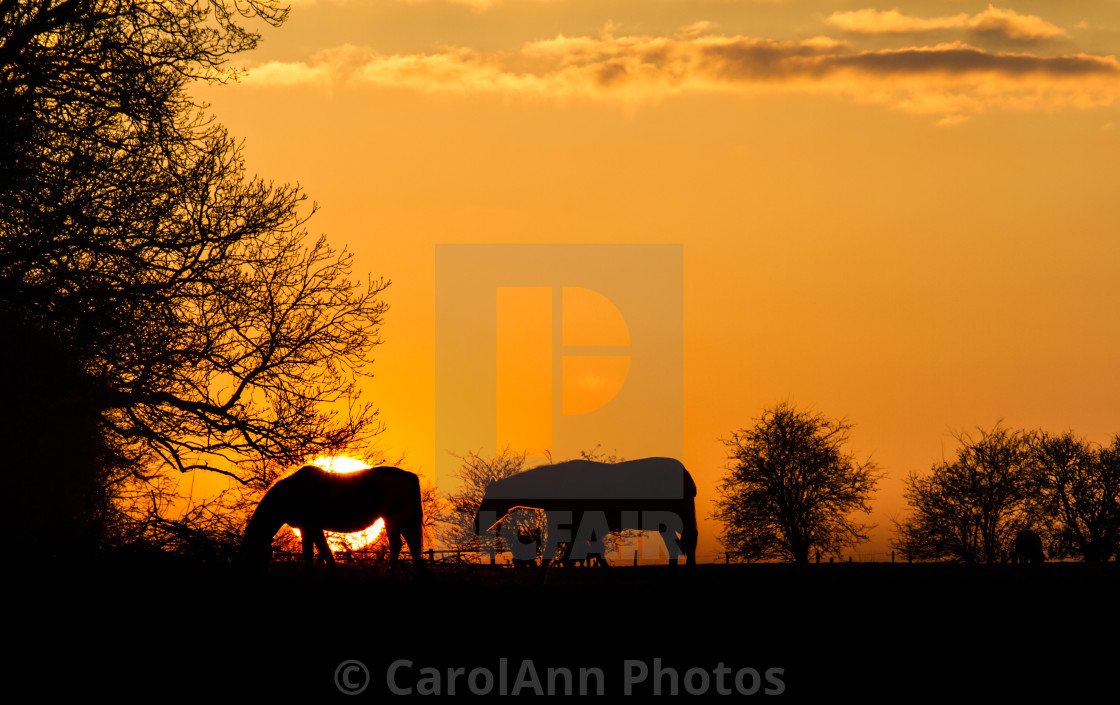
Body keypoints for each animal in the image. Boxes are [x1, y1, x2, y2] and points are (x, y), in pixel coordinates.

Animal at [241, 464, 423, 573]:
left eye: (252, 551)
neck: (290, 495)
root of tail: (410, 476)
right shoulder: (311, 529)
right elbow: (321, 553)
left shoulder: (310, 527)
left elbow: (316, 554)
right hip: (398, 521)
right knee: (406, 546)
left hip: (396, 519)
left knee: (406, 546)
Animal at [474, 457, 698, 582]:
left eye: (489, 498)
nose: (476, 523)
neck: (558, 487)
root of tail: (687, 474)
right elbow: (590, 554)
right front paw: (608, 578)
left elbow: (553, 555)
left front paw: (538, 582)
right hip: (666, 523)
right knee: (674, 545)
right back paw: (673, 578)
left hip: (681, 515)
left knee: (691, 540)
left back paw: (690, 575)